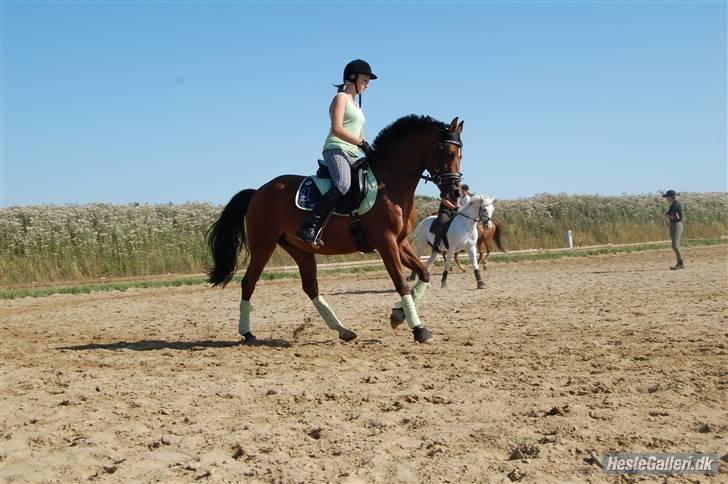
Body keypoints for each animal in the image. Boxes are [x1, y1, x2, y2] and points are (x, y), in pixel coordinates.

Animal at [208, 115, 464, 344]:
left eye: (460, 154)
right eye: (449, 153)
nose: (455, 193)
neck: (389, 184)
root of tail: (258, 191)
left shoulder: (399, 242)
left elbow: (424, 273)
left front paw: (398, 315)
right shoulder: (386, 242)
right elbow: (401, 282)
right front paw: (419, 330)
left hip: (299, 248)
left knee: (310, 287)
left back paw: (343, 330)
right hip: (264, 244)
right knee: (248, 282)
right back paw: (247, 333)